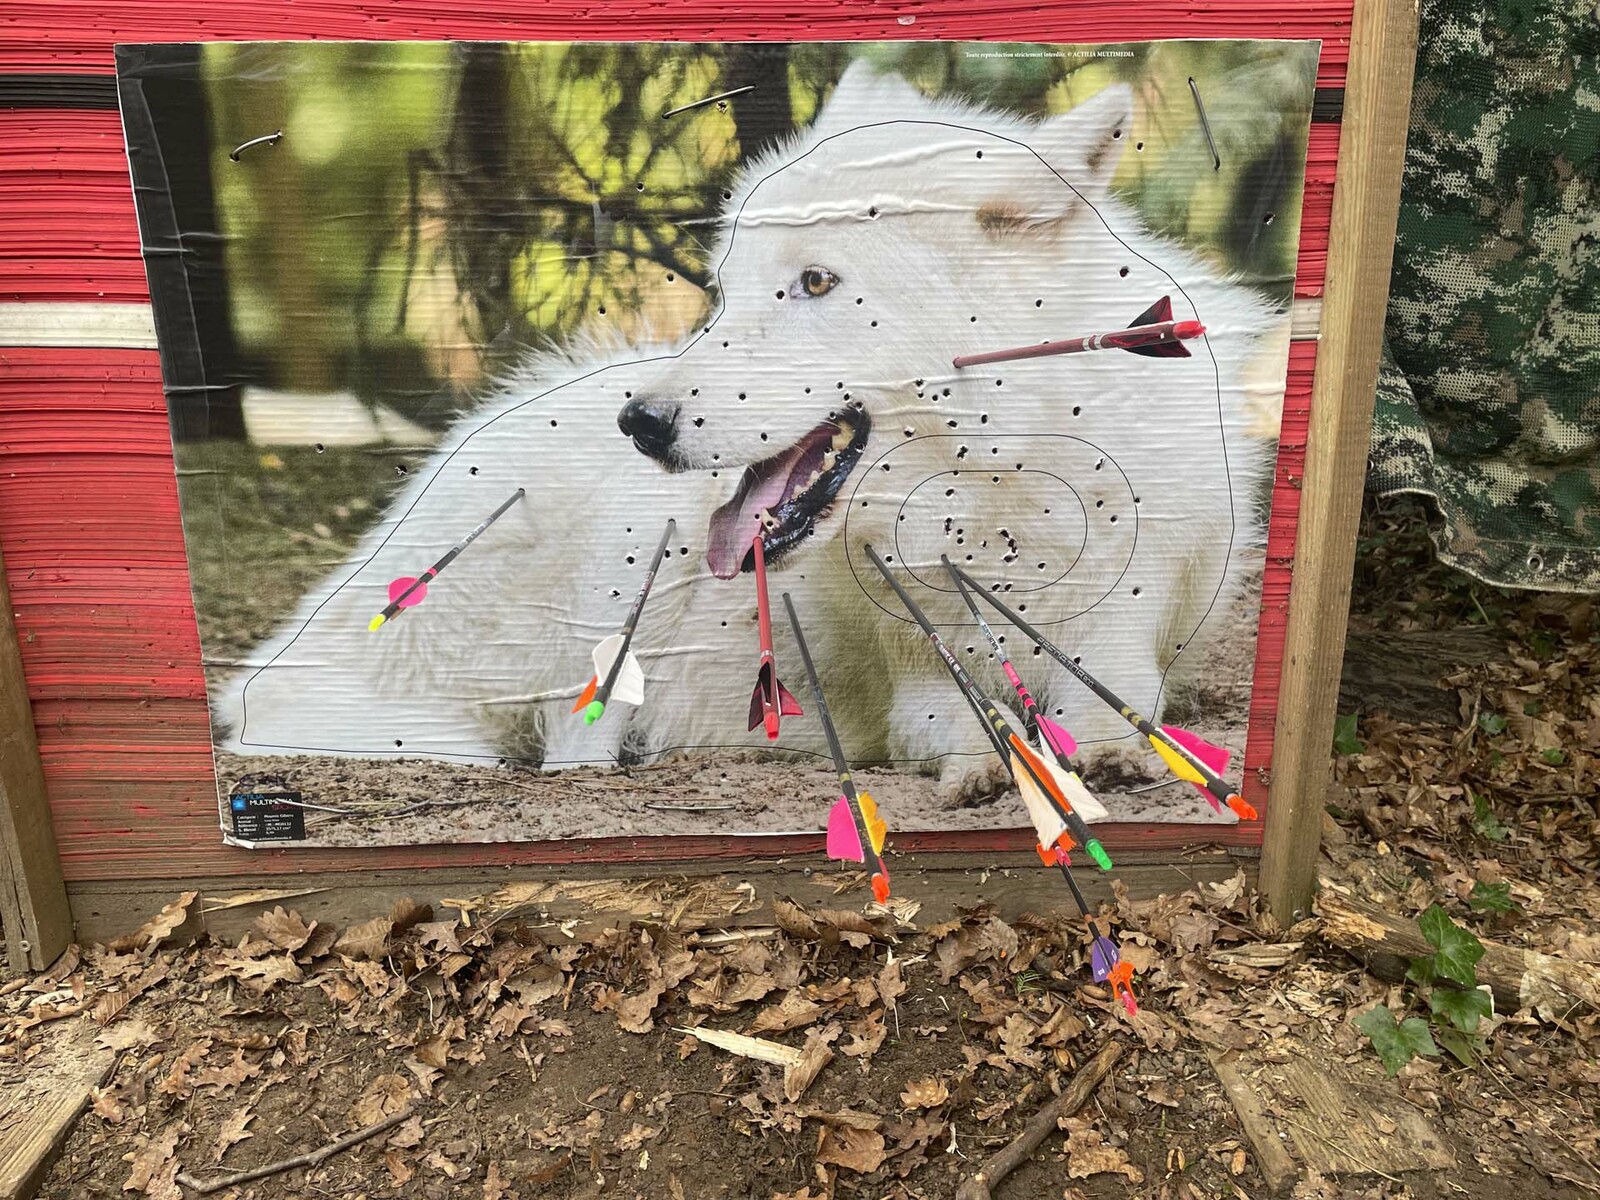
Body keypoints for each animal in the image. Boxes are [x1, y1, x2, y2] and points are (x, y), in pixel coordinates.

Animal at [218, 61, 1284, 809]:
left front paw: (1104, 750)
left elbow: (1119, 708)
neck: (993, 495)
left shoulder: (1126, 634)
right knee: (570, 743)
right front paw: (991, 759)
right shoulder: (914, 683)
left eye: (814, 282)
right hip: (621, 549)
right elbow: (966, 721)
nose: (639, 422)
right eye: (726, 287)